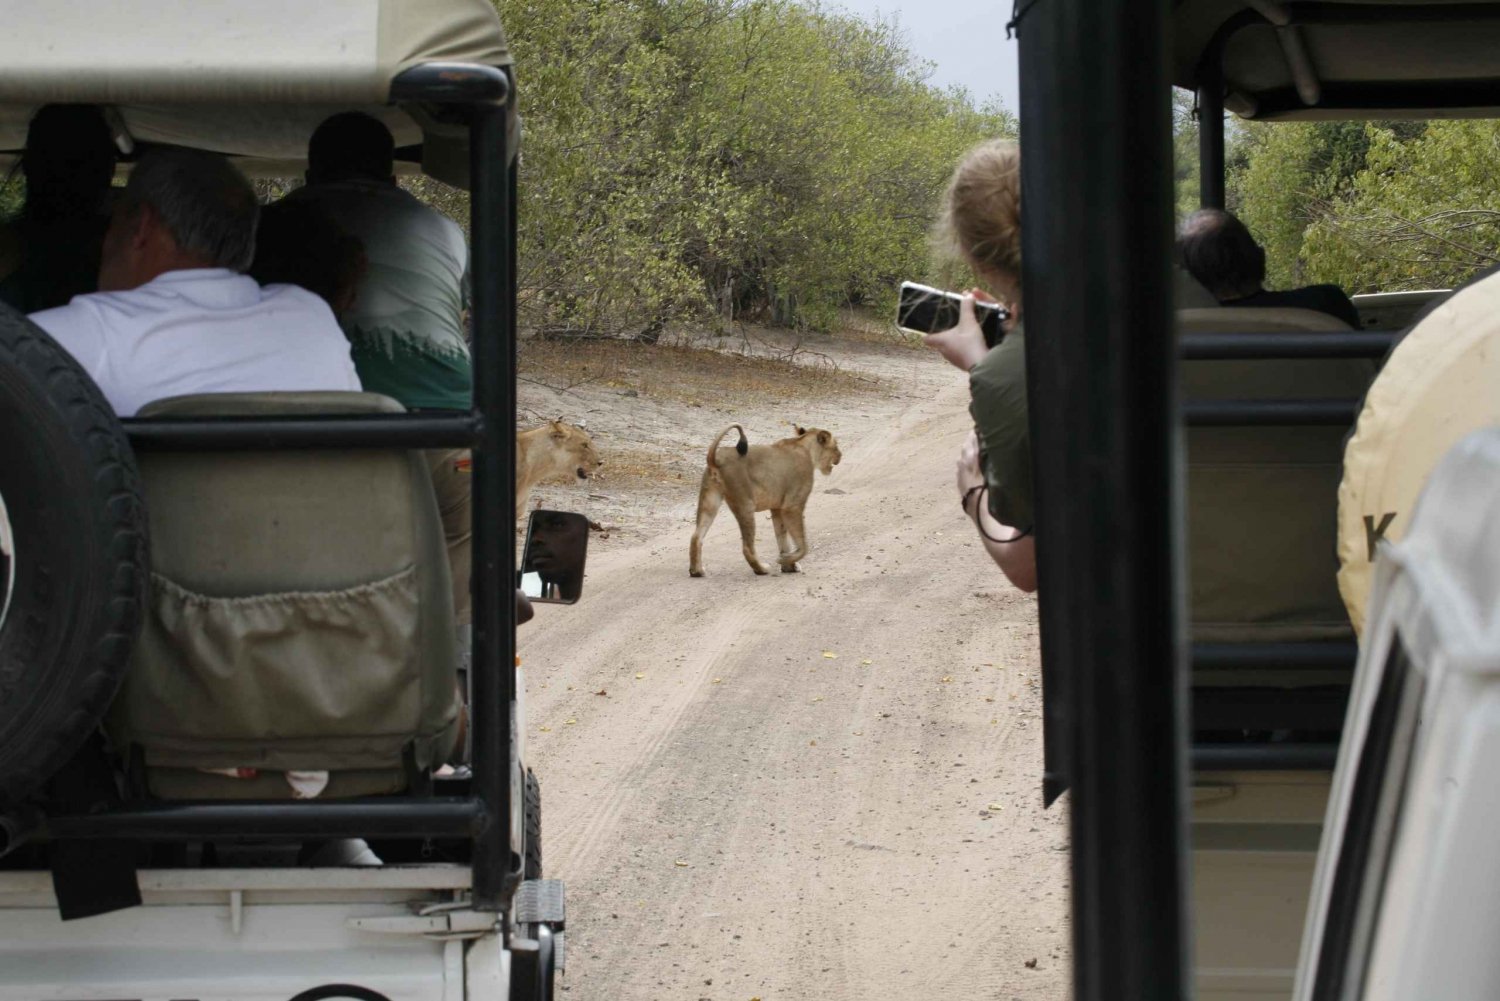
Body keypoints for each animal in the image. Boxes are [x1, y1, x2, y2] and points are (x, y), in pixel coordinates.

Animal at [690, 426, 846, 579]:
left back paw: (696, 571)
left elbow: (782, 538)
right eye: (836, 446)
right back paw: (761, 569)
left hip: (709, 500)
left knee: (696, 537)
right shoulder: (792, 506)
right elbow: (803, 545)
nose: (841, 455)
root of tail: (716, 457)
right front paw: (784, 560)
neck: (805, 446)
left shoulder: (777, 508)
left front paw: (788, 565)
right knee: (747, 547)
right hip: (745, 503)